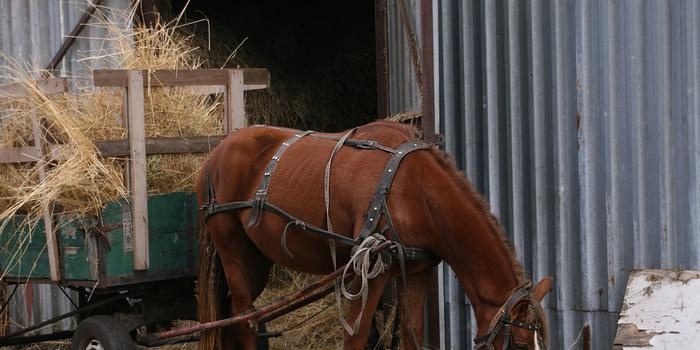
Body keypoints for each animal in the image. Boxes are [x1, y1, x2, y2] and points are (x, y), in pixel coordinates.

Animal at [194, 121, 548, 350]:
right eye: (519, 344)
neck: (412, 188)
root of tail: (216, 153)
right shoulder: (369, 274)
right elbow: (357, 338)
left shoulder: (415, 273)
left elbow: (412, 336)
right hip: (233, 251)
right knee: (245, 319)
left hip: (257, 261)